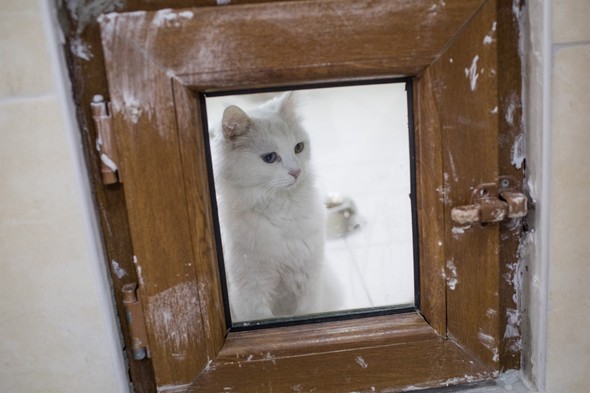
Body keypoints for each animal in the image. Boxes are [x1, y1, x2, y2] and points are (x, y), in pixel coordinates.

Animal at [213, 92, 330, 322]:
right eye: (270, 158)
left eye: (298, 147)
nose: (296, 172)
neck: (281, 209)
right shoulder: (252, 292)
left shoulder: (309, 281)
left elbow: (309, 312)